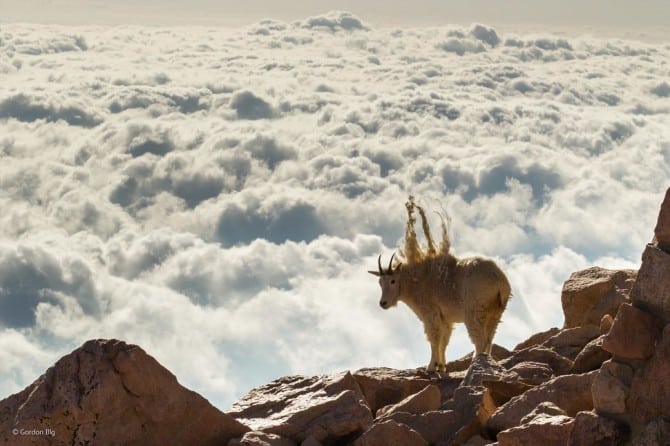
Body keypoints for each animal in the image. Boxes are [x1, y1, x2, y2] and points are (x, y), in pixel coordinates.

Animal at [370, 197, 512, 372]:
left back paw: (475, 365)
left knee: (479, 339)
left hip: (475, 312)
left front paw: (431, 367)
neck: (416, 280)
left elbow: (434, 339)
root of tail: (499, 281)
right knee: (490, 338)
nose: (383, 303)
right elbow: (444, 341)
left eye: (392, 280)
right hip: (496, 311)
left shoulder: (430, 314)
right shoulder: (445, 319)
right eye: (379, 282)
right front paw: (442, 367)